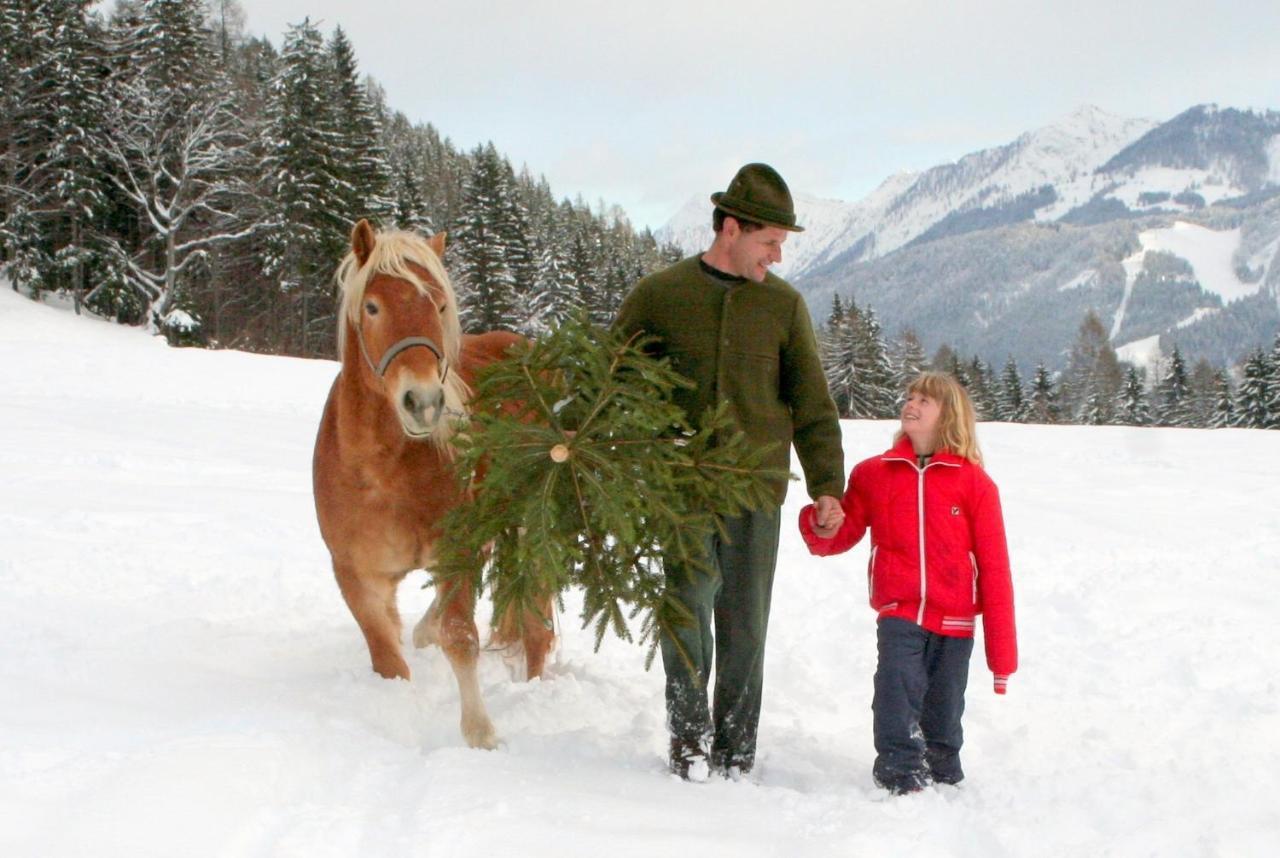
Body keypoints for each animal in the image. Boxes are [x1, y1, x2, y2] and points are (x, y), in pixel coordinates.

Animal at [312, 218, 552, 747]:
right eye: (373, 306)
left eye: (439, 305)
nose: (423, 402)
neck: (382, 468)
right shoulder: (357, 576)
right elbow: (388, 659)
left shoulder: (455, 551)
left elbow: (461, 638)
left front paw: (481, 734)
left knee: (535, 621)